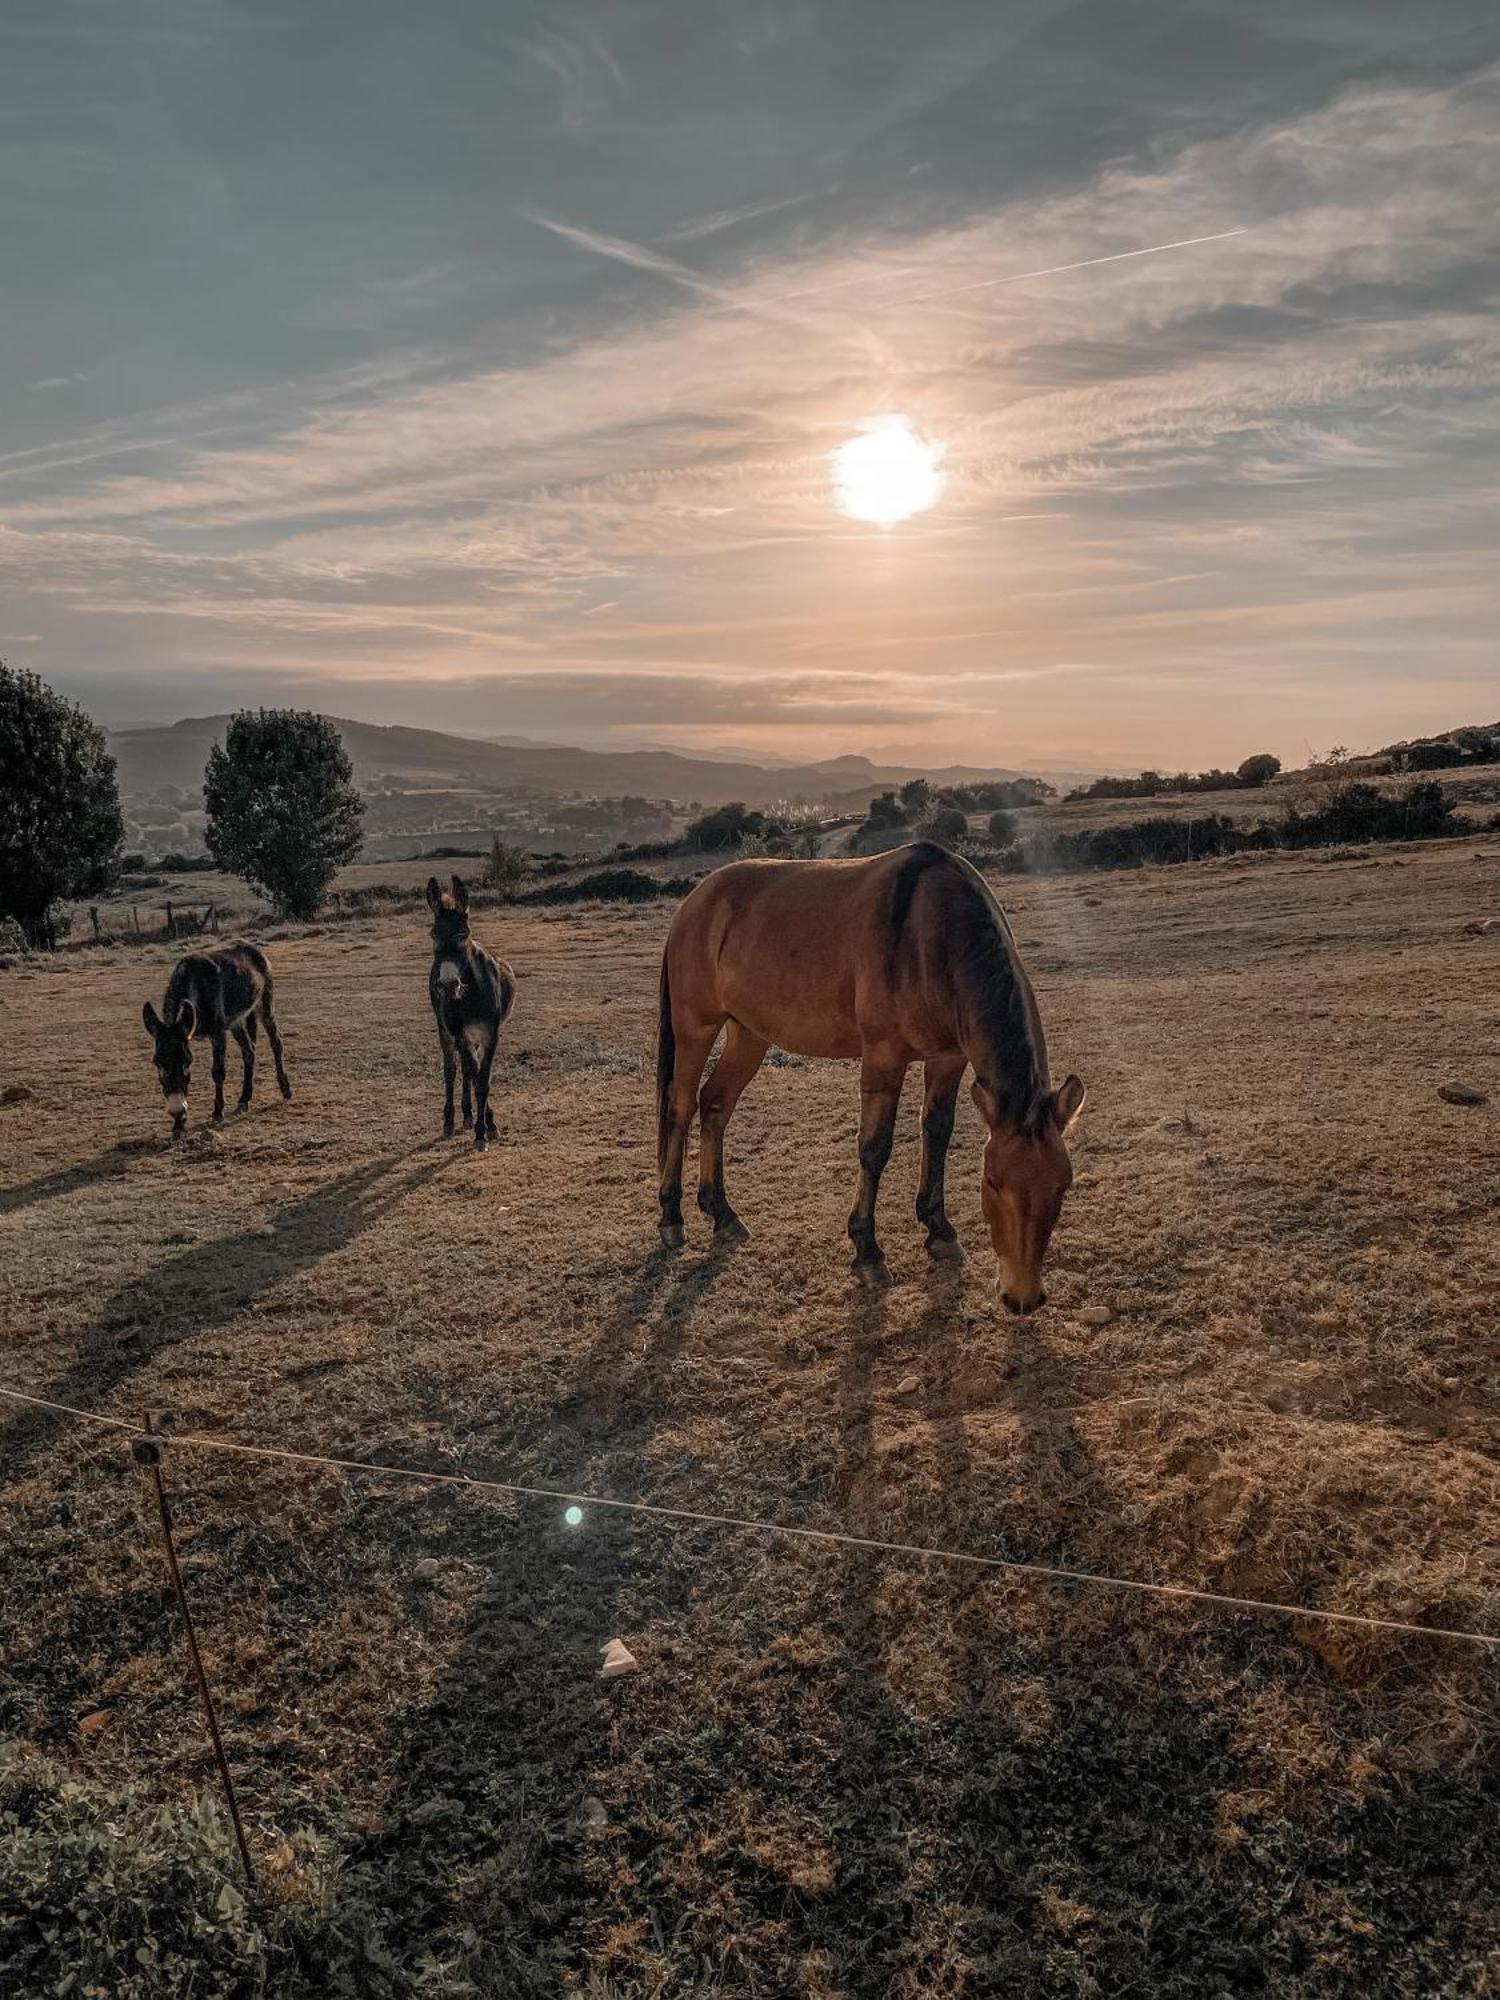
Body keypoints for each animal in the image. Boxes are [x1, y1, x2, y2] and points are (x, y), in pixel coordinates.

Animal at [142, 940, 292, 1144]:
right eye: (157, 1062)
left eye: (187, 1062)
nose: (177, 1110)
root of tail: (250, 946)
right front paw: (179, 1127)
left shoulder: (218, 1033)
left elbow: (218, 1072)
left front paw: (217, 1112)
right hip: (236, 1021)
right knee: (249, 1051)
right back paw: (244, 1099)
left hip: (265, 1004)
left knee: (276, 1043)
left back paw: (285, 1089)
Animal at [424, 880, 516, 1152]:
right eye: (434, 935)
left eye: (463, 934)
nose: (446, 984)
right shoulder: (460, 1034)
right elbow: (475, 1076)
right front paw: (482, 1129)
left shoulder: (490, 1035)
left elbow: (482, 1079)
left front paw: (486, 1128)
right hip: (445, 1030)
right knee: (453, 1069)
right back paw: (450, 1120)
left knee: (467, 1071)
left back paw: (468, 1115)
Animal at [656, 836, 1080, 1304]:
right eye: (992, 1181)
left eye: (1063, 1184)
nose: (1022, 1297)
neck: (931, 936)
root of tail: (695, 902)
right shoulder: (883, 1059)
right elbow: (874, 1149)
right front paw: (868, 1252)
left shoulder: (948, 1059)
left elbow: (937, 1132)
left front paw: (939, 1231)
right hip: (695, 1029)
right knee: (680, 1109)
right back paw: (671, 1217)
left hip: (748, 1033)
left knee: (715, 1105)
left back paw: (722, 1213)